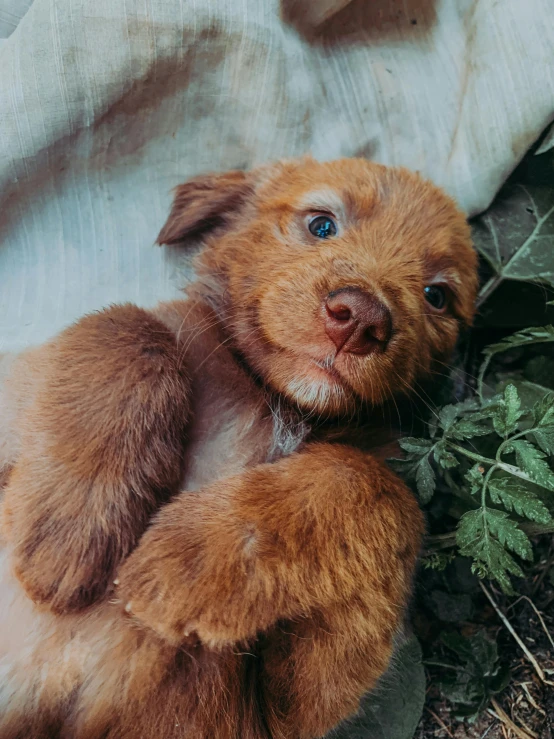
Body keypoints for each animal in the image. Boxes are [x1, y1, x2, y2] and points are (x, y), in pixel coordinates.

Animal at [0, 159, 474, 739]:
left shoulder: (289, 710)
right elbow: (126, 323)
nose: (362, 318)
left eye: (437, 296)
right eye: (322, 224)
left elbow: (382, 490)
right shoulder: (15, 391)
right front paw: (70, 533)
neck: (275, 401)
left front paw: (189, 560)